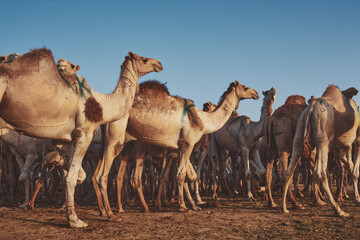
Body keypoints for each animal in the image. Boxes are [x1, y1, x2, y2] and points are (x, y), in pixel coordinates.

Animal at [0, 47, 162, 228]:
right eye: (144, 59)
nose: (159, 64)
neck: (102, 105)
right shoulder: (85, 132)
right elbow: (72, 177)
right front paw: (74, 220)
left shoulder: (62, 140)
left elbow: (76, 175)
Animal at [93, 79, 258, 220]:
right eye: (245, 87)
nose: (256, 93)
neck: (203, 120)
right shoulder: (188, 143)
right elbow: (181, 174)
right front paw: (183, 207)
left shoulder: (177, 149)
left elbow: (186, 175)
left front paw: (193, 205)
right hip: (116, 139)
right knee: (104, 176)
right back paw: (111, 213)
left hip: (117, 144)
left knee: (108, 175)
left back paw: (115, 209)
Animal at [282, 85, 360, 218]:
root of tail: (311, 109)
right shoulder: (357, 140)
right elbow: (355, 171)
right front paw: (358, 199)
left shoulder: (338, 147)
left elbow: (349, 165)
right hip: (323, 139)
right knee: (321, 172)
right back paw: (338, 210)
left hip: (300, 136)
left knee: (290, 170)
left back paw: (284, 207)